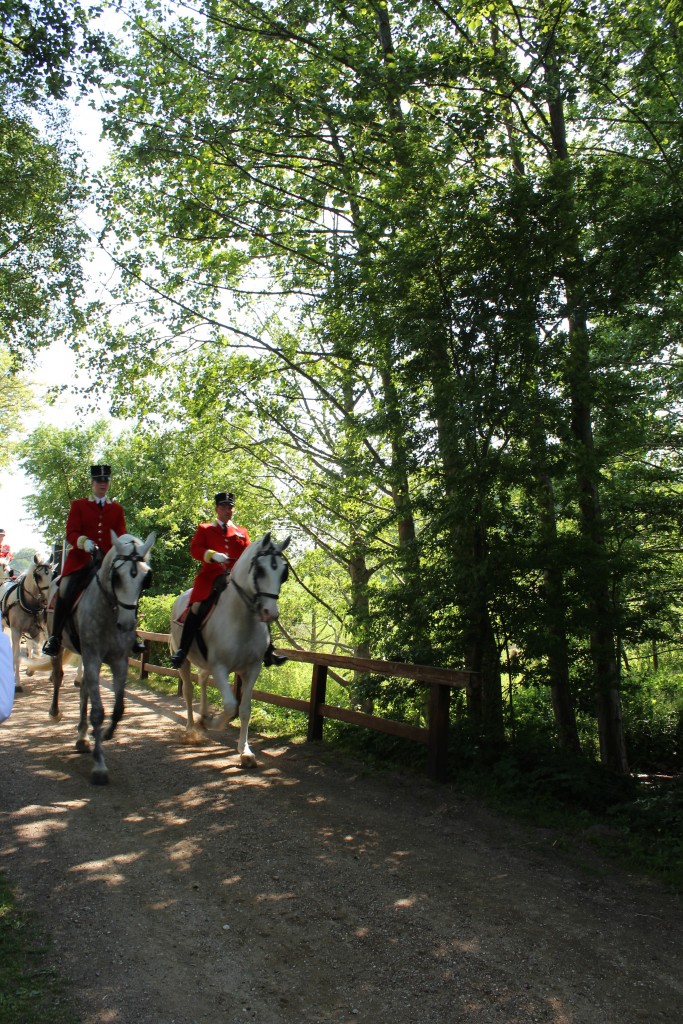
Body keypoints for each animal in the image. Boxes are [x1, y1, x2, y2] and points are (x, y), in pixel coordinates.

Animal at [0, 557, 52, 692]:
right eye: (38, 576)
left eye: (52, 573)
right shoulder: (16, 630)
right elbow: (17, 654)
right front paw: (17, 683)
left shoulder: (35, 631)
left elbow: (36, 650)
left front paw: (31, 669)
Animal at [47, 536, 155, 782]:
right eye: (117, 577)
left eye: (145, 577)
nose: (127, 624)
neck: (109, 610)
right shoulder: (93, 657)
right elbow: (98, 712)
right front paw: (99, 765)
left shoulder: (119, 660)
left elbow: (119, 708)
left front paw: (106, 734)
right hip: (61, 645)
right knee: (58, 676)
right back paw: (55, 713)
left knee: (84, 688)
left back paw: (82, 736)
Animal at [171, 532, 290, 765]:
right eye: (259, 569)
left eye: (283, 573)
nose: (270, 613)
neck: (242, 620)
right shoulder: (220, 667)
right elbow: (229, 706)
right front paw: (211, 723)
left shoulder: (252, 669)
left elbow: (244, 709)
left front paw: (245, 750)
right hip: (185, 661)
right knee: (188, 690)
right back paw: (192, 726)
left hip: (205, 664)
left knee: (202, 680)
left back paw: (203, 714)